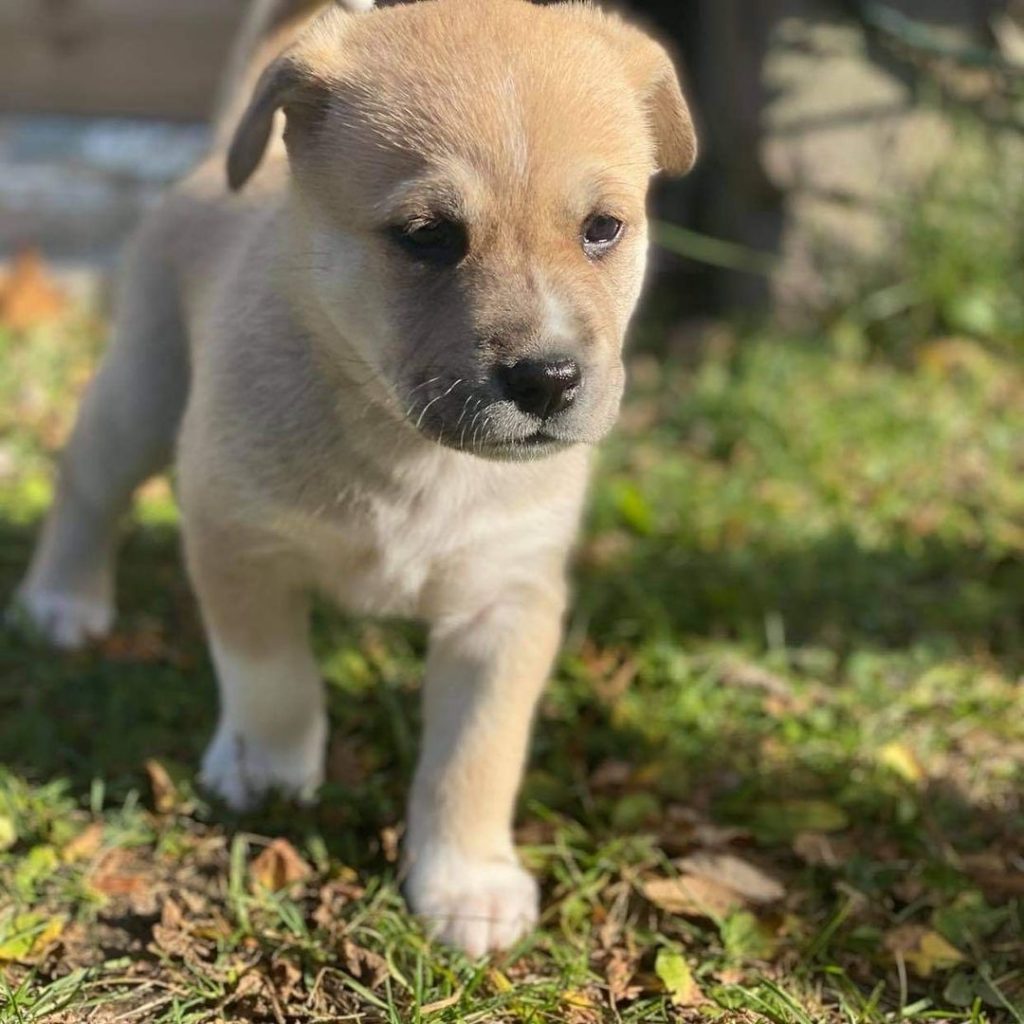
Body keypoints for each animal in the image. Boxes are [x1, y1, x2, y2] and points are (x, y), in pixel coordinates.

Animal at [16, 0, 700, 958]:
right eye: (427, 237)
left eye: (602, 228)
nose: (548, 379)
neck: (409, 452)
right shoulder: (238, 540)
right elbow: (273, 678)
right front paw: (269, 772)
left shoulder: (506, 605)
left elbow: (477, 753)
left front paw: (466, 881)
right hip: (139, 394)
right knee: (86, 484)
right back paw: (62, 600)